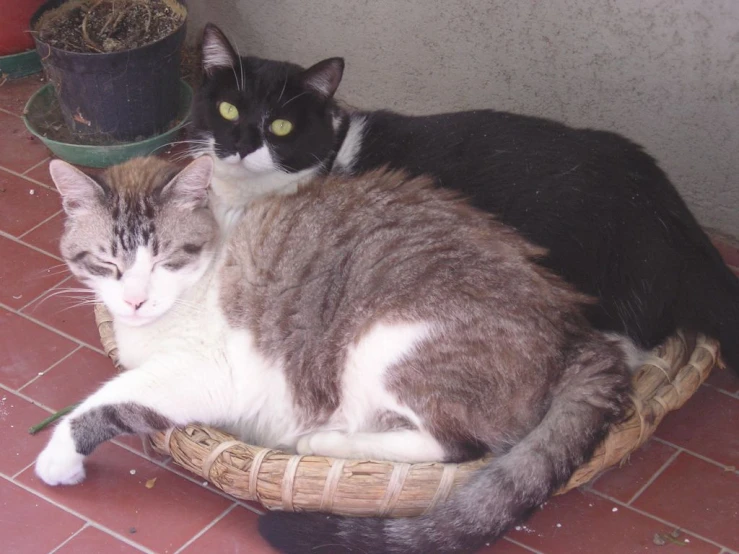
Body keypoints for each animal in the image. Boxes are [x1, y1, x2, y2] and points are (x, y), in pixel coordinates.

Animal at [37, 155, 632, 552]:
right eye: (107, 264)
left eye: (163, 260)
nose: (135, 300)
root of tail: (575, 329)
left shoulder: (206, 373)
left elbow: (108, 399)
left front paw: (58, 456)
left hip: (386, 343)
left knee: (456, 447)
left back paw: (324, 439)